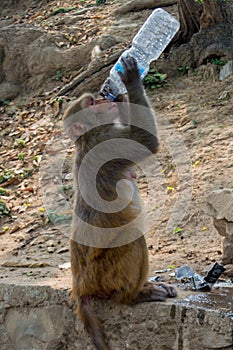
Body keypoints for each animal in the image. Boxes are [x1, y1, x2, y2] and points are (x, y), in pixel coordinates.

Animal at [62, 56, 176, 350]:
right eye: (92, 103)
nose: (107, 97)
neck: (89, 135)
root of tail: (82, 286)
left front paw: (125, 96)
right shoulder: (109, 142)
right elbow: (147, 142)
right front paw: (131, 79)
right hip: (105, 272)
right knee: (132, 238)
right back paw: (133, 296)